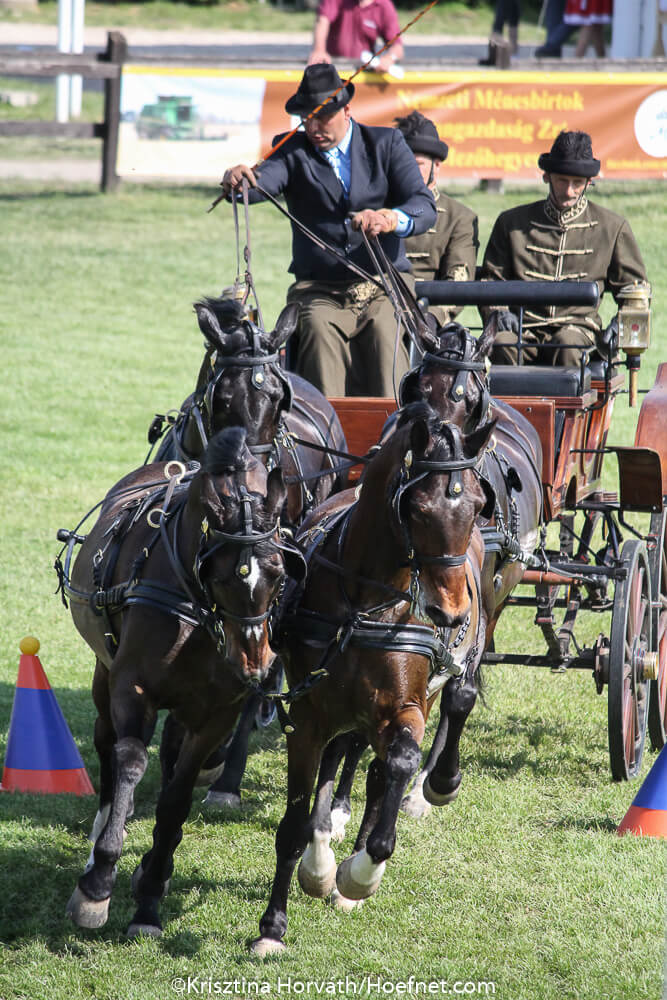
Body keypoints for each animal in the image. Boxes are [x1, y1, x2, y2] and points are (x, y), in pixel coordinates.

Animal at [57, 427, 305, 938]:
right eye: (221, 572)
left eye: (279, 572)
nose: (254, 661)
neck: (195, 612)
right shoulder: (131, 687)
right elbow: (131, 760)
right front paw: (98, 883)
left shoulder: (219, 711)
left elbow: (176, 799)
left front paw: (150, 898)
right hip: (104, 672)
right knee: (108, 746)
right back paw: (103, 837)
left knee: (170, 753)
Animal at [251, 402, 496, 955]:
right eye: (418, 509)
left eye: (476, 506)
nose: (450, 614)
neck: (366, 603)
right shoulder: (308, 715)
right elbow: (295, 821)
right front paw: (274, 925)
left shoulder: (405, 707)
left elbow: (398, 765)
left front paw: (360, 874)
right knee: (342, 761)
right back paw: (322, 855)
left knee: (391, 763)